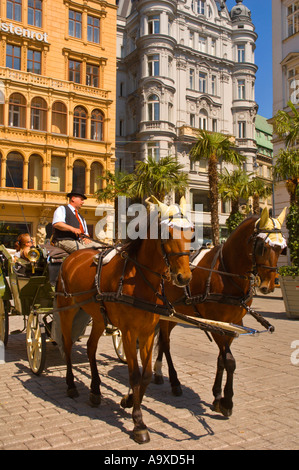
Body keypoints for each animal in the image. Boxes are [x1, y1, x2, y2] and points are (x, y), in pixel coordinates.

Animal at [55, 196, 195, 442]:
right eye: (167, 234)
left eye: (192, 234)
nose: (184, 277)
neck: (138, 279)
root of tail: (71, 257)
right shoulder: (129, 333)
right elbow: (134, 375)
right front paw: (139, 423)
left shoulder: (147, 332)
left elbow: (146, 375)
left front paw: (129, 401)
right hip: (67, 310)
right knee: (68, 344)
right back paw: (71, 385)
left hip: (98, 317)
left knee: (90, 347)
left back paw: (95, 389)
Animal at [155, 209, 288, 418]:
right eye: (262, 247)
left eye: (282, 248)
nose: (268, 286)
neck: (226, 273)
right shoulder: (216, 324)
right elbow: (230, 361)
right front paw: (227, 401)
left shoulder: (234, 324)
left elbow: (221, 360)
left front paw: (217, 396)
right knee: (166, 344)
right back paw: (174, 382)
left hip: (173, 314)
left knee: (162, 341)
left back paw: (158, 373)